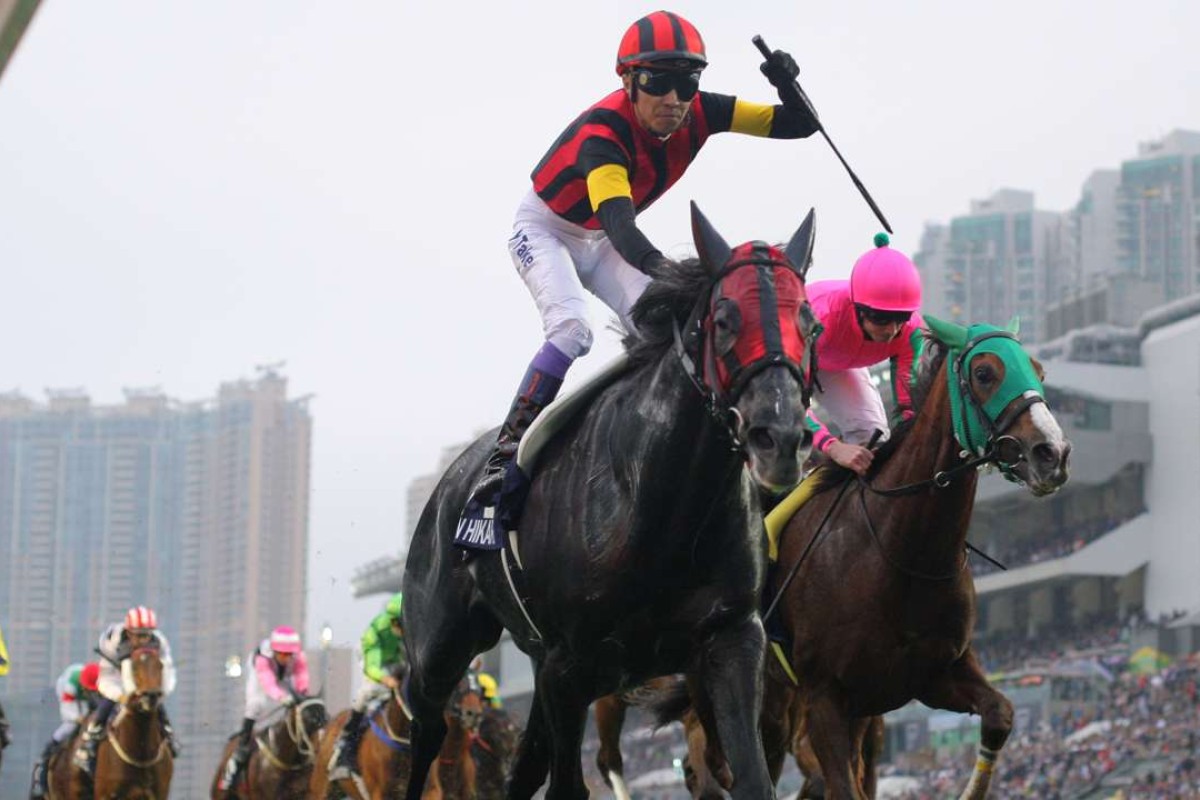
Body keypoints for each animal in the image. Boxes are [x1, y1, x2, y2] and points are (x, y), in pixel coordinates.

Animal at [403, 203, 825, 800]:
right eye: (724, 320)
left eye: (810, 325)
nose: (780, 438)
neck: (664, 505)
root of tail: (450, 481)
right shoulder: (569, 667)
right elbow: (567, 786)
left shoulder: (733, 638)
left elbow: (752, 778)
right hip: (438, 652)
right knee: (427, 733)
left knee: (520, 768)